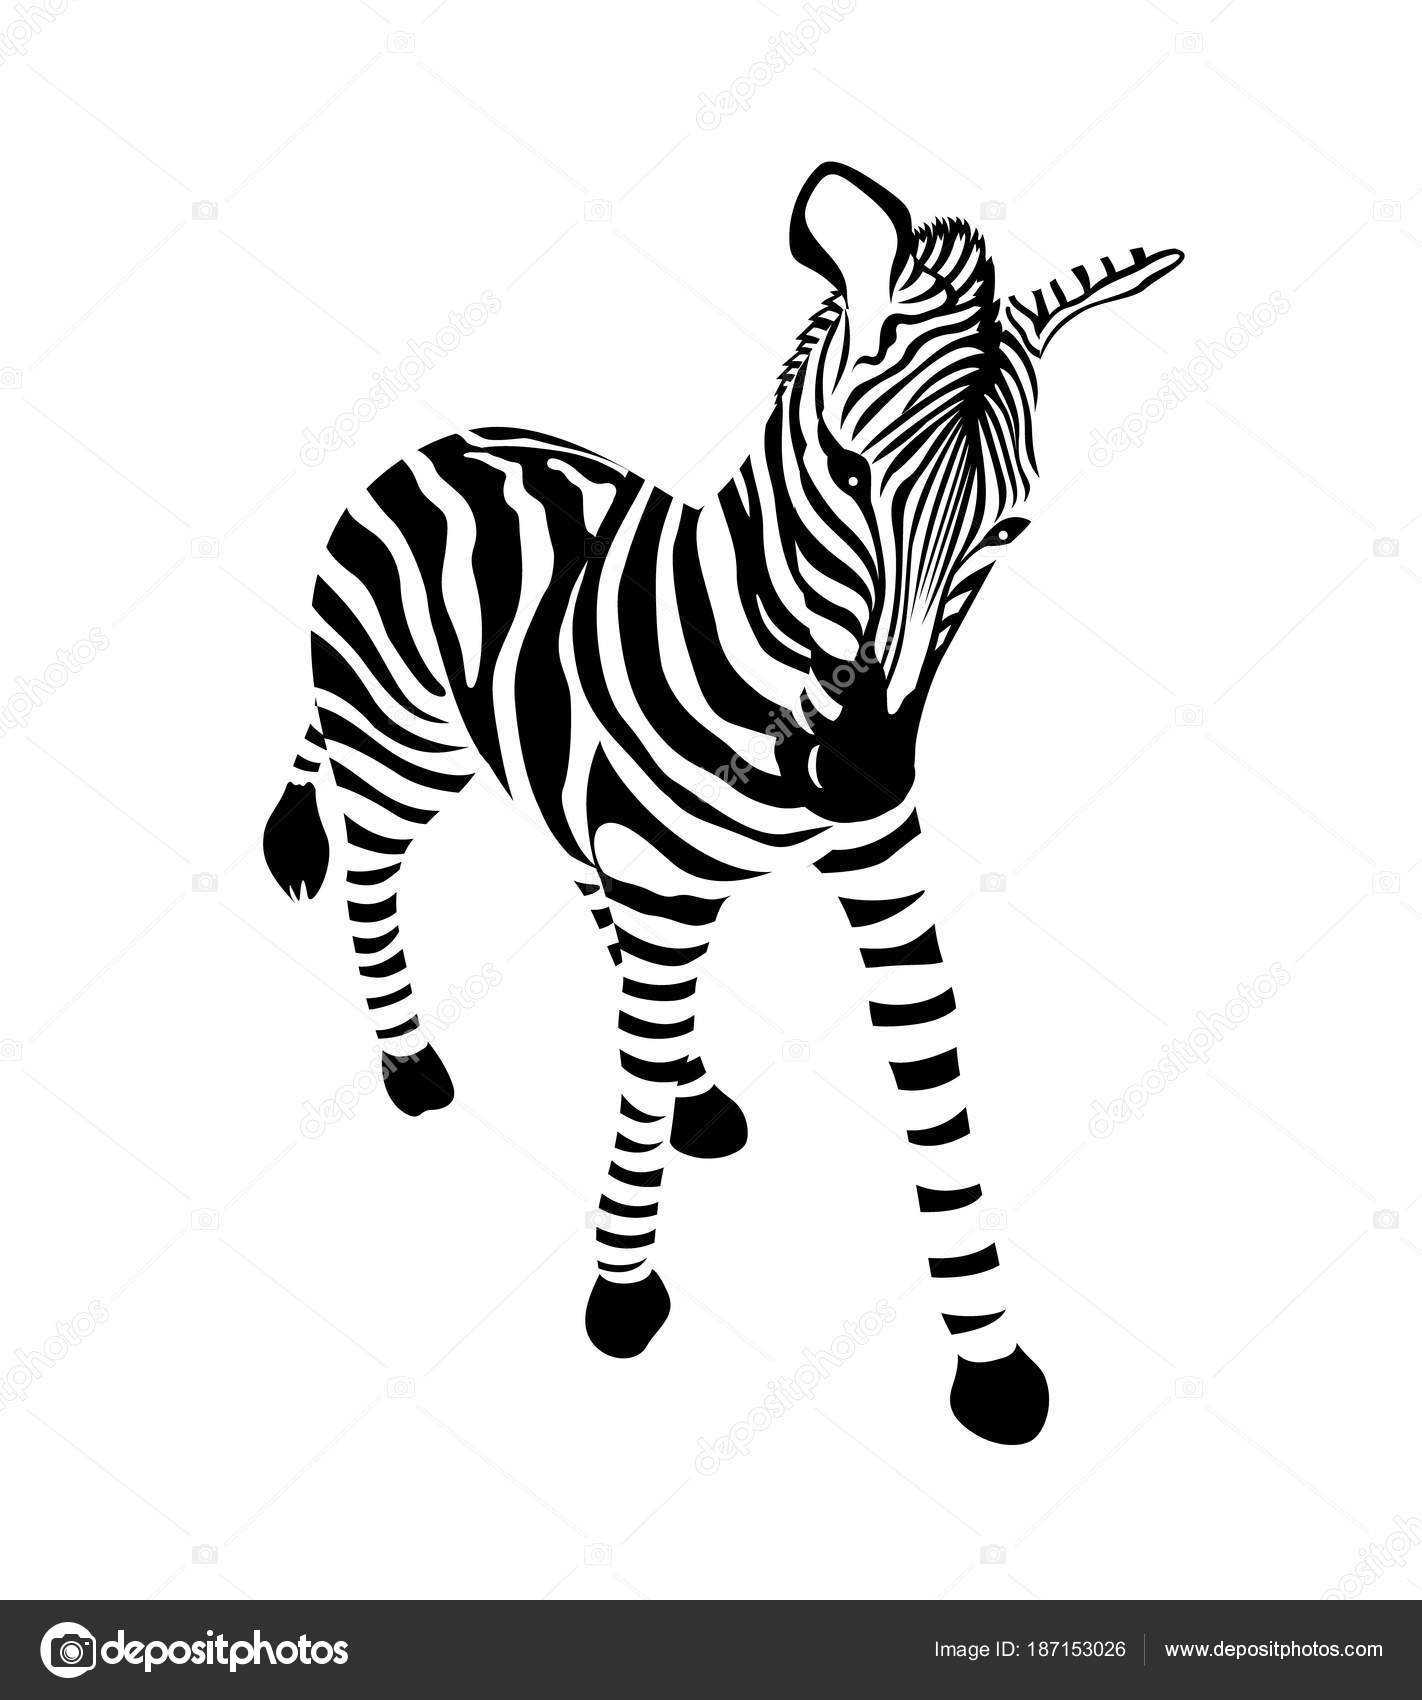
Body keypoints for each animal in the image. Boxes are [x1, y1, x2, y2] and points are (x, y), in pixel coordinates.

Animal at [263, 162, 1182, 1445]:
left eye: (1007, 527)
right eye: (850, 473)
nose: (864, 769)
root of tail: (430, 443)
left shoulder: (882, 883)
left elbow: (934, 1087)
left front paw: (991, 1358)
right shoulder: (661, 874)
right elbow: (634, 1066)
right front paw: (622, 1290)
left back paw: (694, 1096)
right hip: (406, 742)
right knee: (371, 865)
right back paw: (409, 1063)